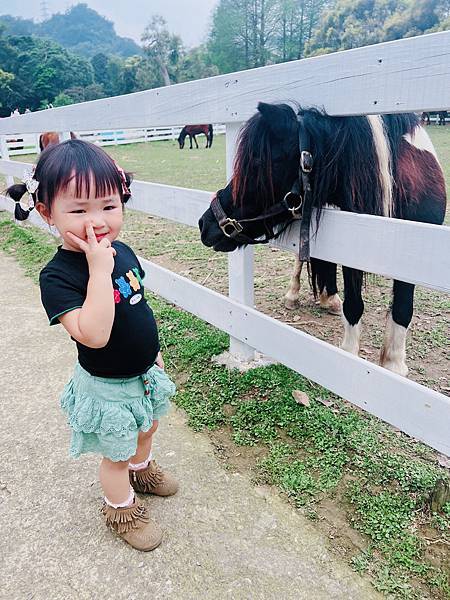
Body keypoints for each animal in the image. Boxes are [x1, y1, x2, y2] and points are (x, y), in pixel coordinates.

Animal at [198, 102, 446, 376]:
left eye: (257, 163)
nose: (205, 224)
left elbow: (402, 310)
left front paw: (394, 365)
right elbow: (353, 305)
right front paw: (349, 354)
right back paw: (298, 295)